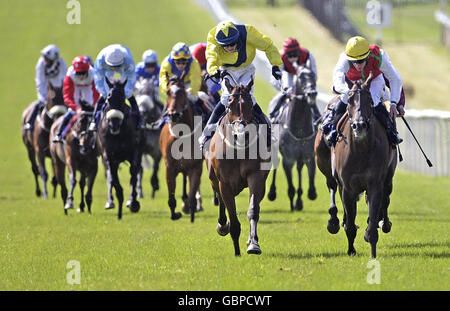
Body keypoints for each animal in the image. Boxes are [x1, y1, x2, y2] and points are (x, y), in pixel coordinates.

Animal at [96, 79, 141, 221]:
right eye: (108, 99)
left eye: (122, 99)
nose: (114, 125)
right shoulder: (108, 156)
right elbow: (113, 177)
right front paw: (119, 199)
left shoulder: (134, 151)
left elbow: (133, 172)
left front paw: (133, 202)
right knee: (110, 176)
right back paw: (110, 202)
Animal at [159, 72, 203, 224]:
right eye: (168, 92)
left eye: (183, 92)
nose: (174, 114)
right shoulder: (170, 167)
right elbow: (171, 199)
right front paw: (175, 214)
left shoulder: (196, 167)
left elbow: (192, 195)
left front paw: (192, 211)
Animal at [205, 75, 270, 256]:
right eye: (230, 102)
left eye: (250, 103)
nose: (242, 132)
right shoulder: (224, 183)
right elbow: (232, 218)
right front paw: (236, 251)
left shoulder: (256, 176)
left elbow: (253, 210)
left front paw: (253, 244)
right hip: (214, 179)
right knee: (220, 199)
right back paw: (222, 225)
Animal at [316, 75, 398, 258]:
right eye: (350, 100)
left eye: (370, 100)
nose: (359, 125)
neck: (361, 150)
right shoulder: (348, 187)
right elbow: (351, 223)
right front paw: (351, 249)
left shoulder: (374, 184)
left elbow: (374, 213)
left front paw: (372, 249)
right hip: (326, 166)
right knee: (332, 187)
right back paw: (334, 221)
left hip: (388, 178)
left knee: (386, 198)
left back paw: (384, 223)